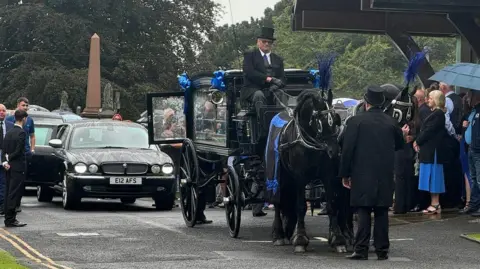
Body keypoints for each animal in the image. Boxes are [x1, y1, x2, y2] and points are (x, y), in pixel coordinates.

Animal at [264, 89, 350, 252]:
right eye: (320, 121)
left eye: (335, 119)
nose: (334, 151)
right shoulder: (300, 177)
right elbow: (300, 206)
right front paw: (300, 239)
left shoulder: (328, 176)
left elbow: (331, 205)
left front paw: (338, 239)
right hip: (279, 176)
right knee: (278, 202)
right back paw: (279, 235)